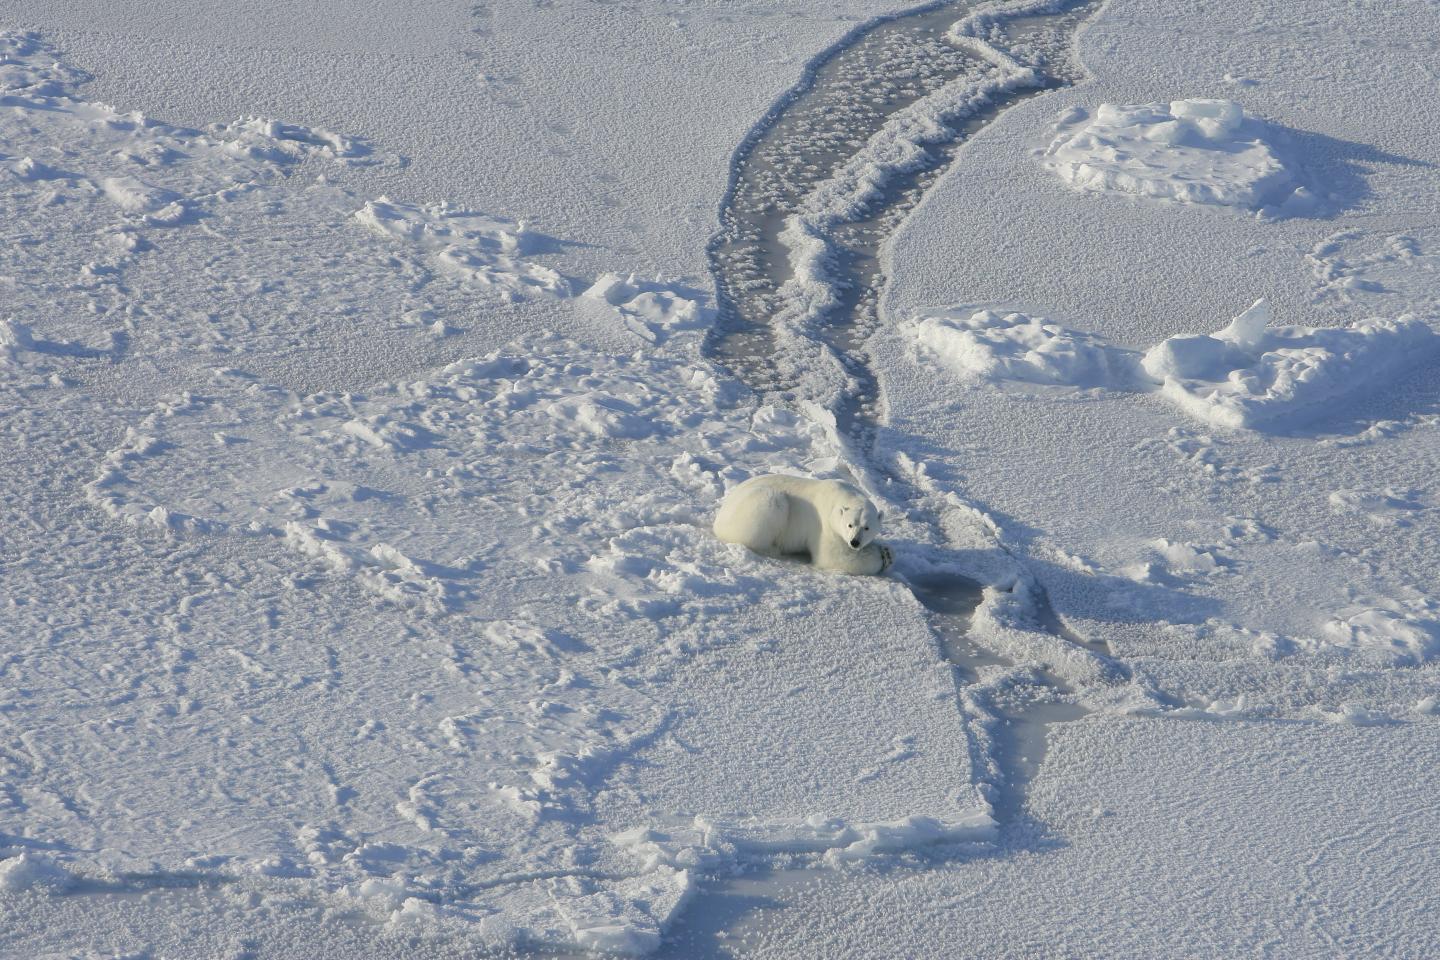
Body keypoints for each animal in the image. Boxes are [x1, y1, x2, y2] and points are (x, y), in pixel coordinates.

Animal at [713, 474, 893, 576]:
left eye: (867, 527)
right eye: (850, 524)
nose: (855, 542)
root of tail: (718, 518)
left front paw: (886, 552)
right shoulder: (825, 526)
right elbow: (833, 557)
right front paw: (882, 556)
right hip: (754, 507)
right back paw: (773, 549)